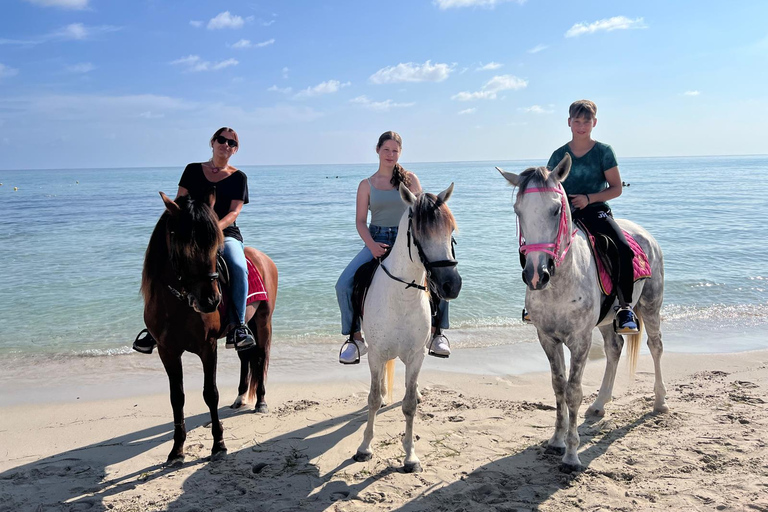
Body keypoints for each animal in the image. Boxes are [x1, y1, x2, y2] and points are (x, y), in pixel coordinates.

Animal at [142, 191, 280, 464]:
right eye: (182, 246)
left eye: (216, 246)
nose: (210, 301)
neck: (177, 304)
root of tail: (264, 258)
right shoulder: (167, 351)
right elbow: (177, 398)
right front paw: (177, 450)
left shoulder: (207, 347)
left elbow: (210, 393)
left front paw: (219, 445)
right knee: (246, 357)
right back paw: (240, 397)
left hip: (263, 322)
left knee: (260, 357)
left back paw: (260, 402)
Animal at [352, 182, 460, 474]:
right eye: (420, 234)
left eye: (451, 231)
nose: (451, 285)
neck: (401, 296)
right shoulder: (377, 354)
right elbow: (373, 398)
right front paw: (364, 448)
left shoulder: (416, 356)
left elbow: (409, 405)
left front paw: (410, 456)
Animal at [498, 155, 664, 472]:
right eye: (518, 210)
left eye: (556, 209)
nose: (536, 275)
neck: (560, 281)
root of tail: (645, 234)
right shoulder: (548, 338)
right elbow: (558, 386)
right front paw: (557, 440)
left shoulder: (580, 340)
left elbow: (573, 390)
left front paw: (572, 454)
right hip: (607, 321)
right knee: (614, 349)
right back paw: (599, 405)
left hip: (651, 304)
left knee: (656, 347)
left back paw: (660, 401)